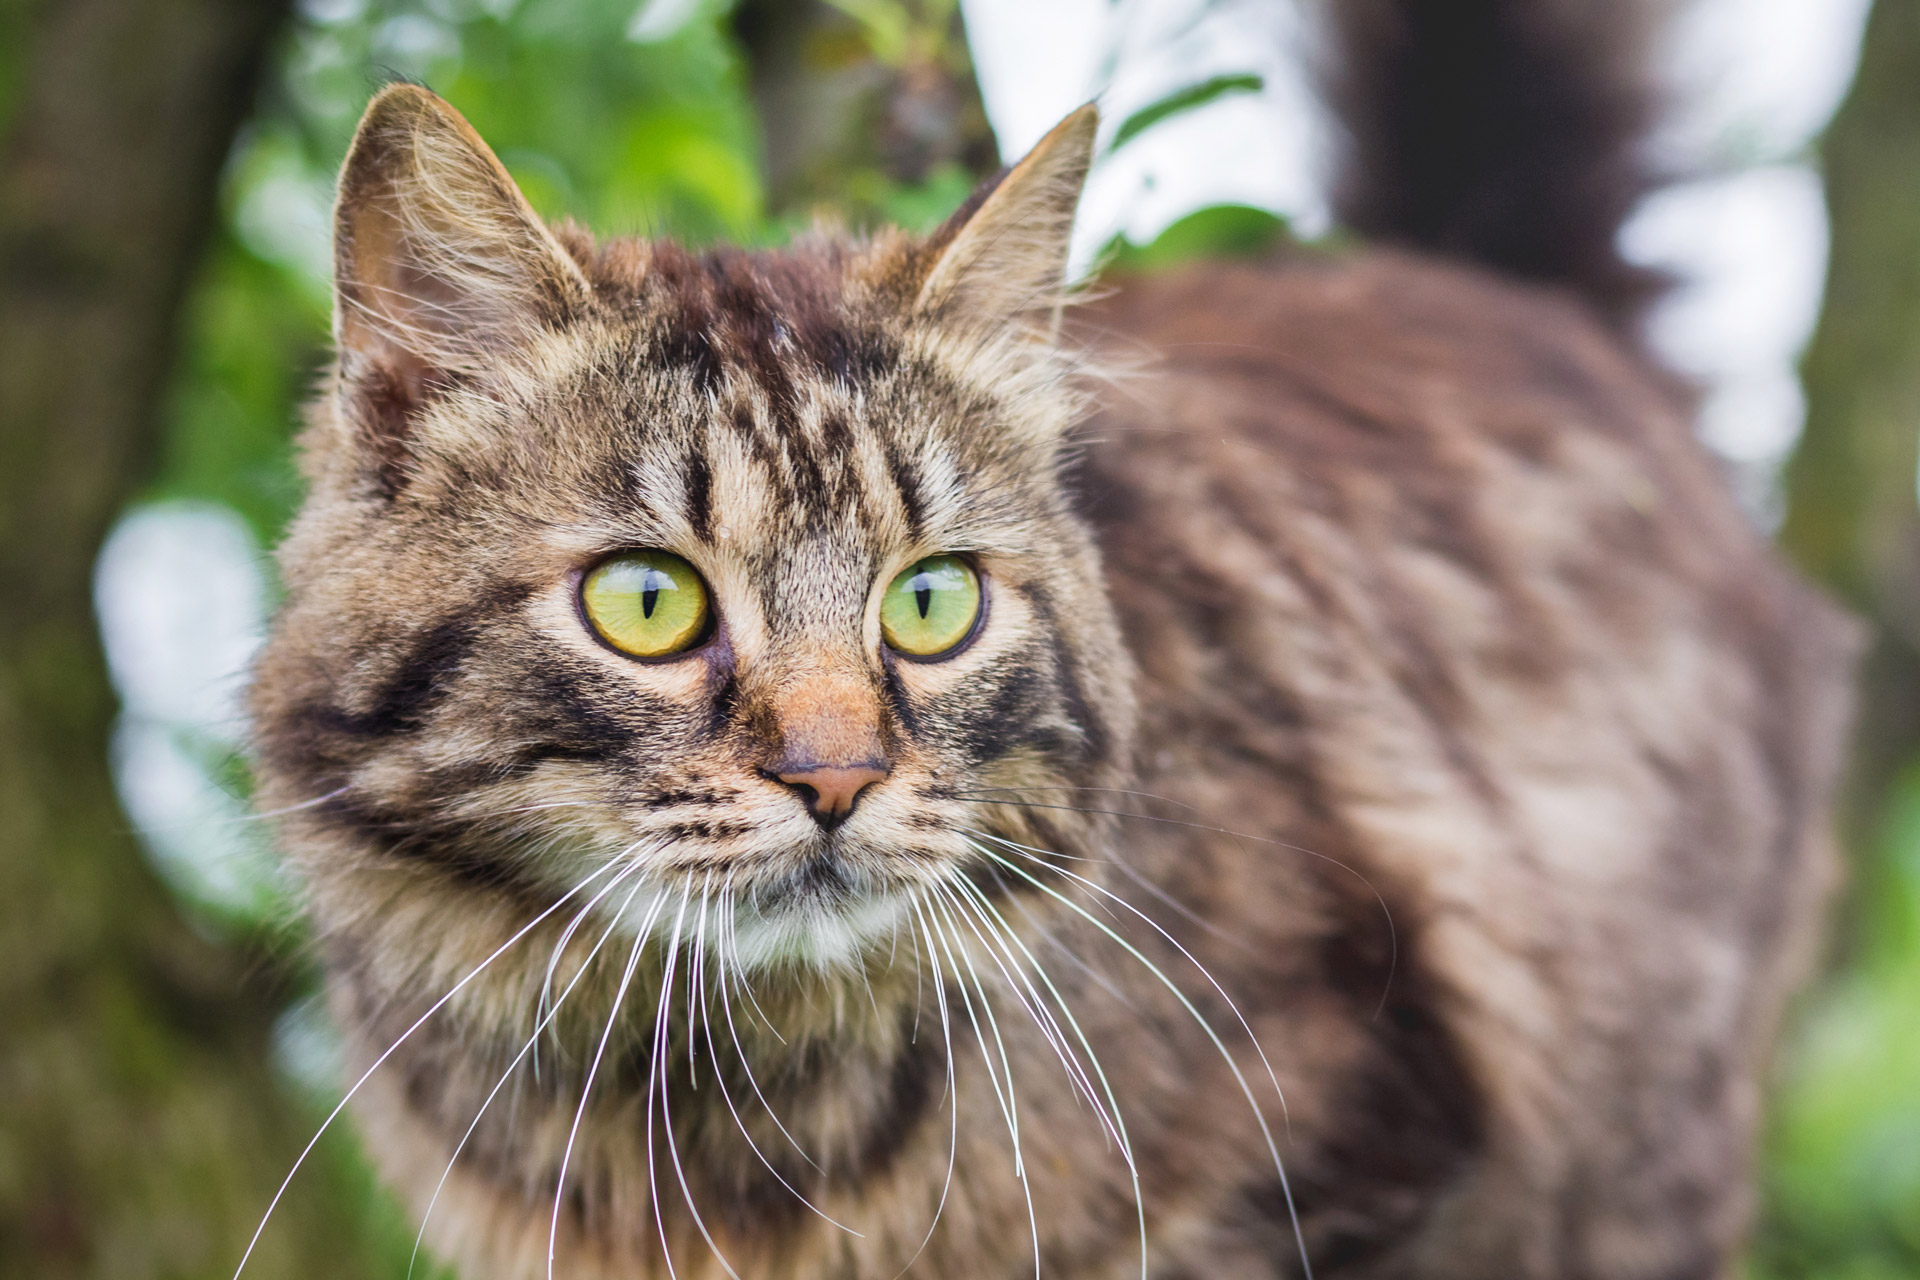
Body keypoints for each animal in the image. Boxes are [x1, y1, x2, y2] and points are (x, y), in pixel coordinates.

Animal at [240, 5, 1858, 1274]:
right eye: (649, 602)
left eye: (931, 602)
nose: (836, 780)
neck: (723, 1110)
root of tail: (1497, 295)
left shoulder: (1370, 1119)